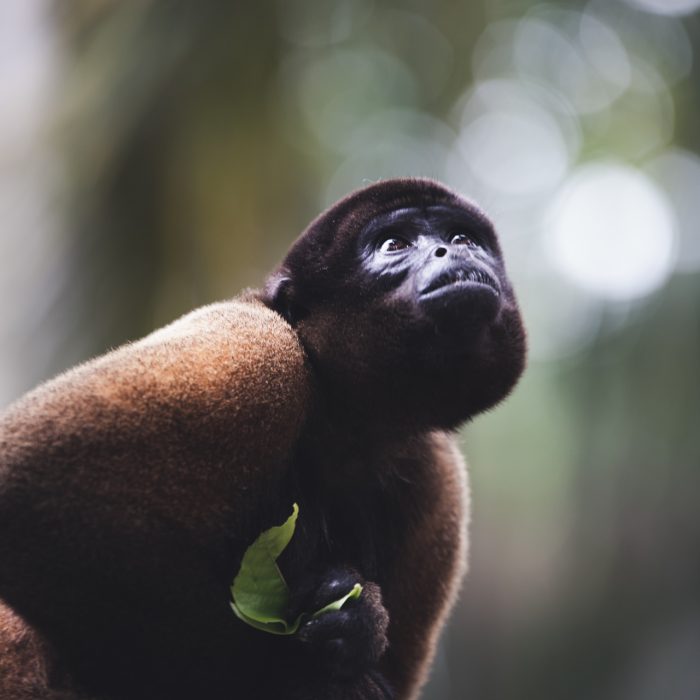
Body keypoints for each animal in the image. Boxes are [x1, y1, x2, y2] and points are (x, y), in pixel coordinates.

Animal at [0, 178, 526, 700]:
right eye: (393, 244)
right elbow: (27, 483)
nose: (453, 250)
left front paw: (356, 628)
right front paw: (303, 668)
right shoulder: (256, 349)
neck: (342, 420)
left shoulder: (436, 473)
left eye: (464, 237)